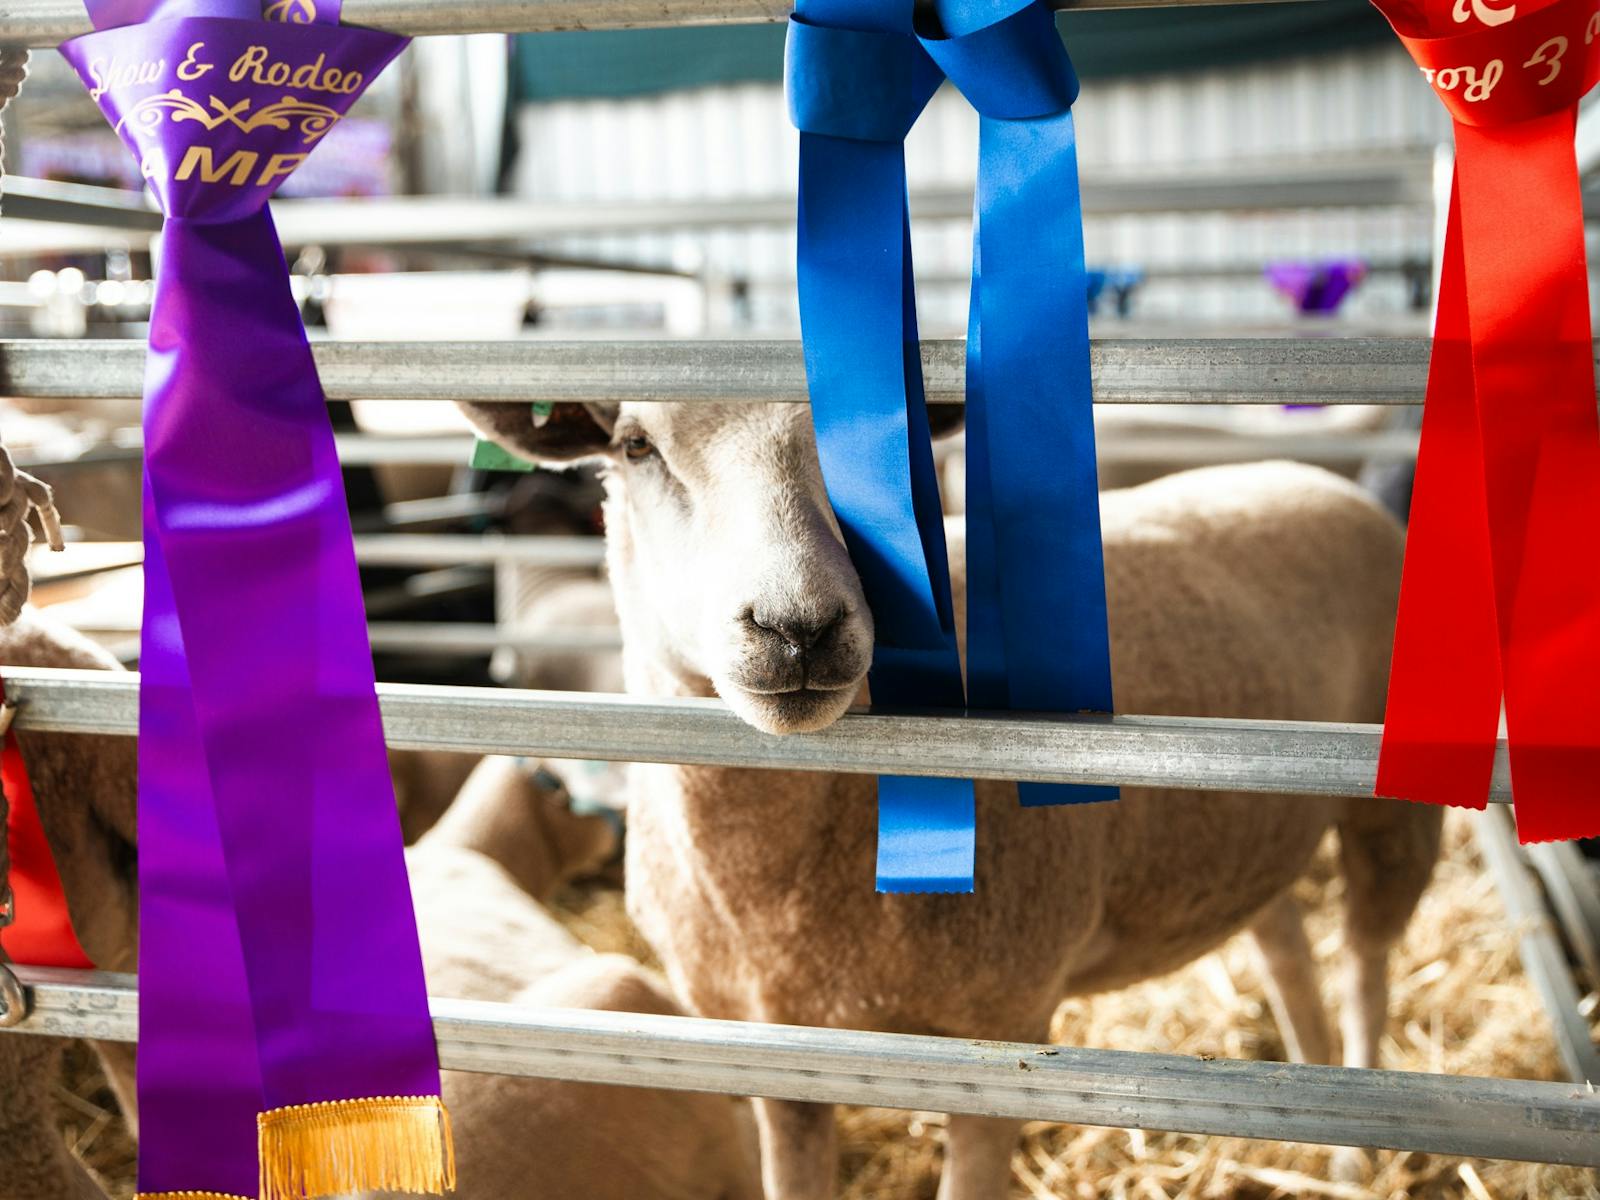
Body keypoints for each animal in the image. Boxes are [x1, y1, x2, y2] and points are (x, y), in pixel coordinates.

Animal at [459, 398, 1444, 1200]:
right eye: (635, 446)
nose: (798, 629)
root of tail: (1313, 475)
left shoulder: (1000, 1036)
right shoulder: (775, 1055)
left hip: (1390, 810)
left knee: (1366, 966)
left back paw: (1359, 1150)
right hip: (1246, 830)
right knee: (1287, 948)